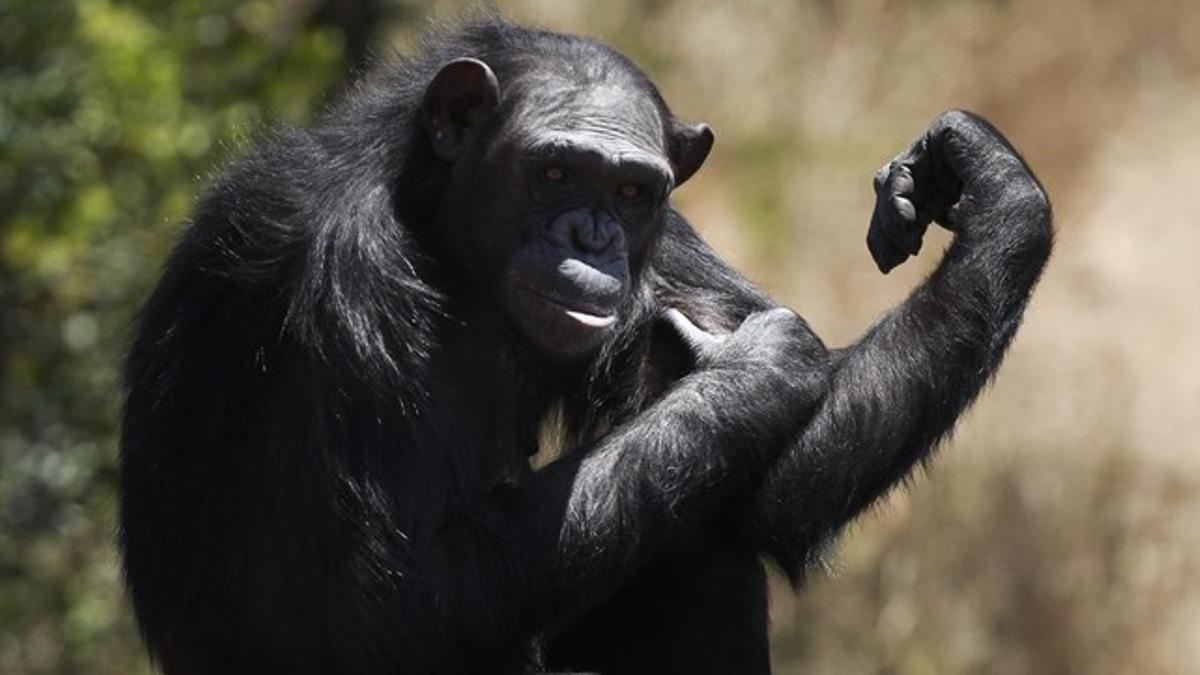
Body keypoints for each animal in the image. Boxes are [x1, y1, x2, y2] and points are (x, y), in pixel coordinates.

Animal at [114, 11, 1051, 672]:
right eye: (555, 170)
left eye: (632, 190)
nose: (590, 235)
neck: (437, 227)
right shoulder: (342, 275)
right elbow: (399, 603)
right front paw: (755, 369)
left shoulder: (665, 242)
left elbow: (786, 485)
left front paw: (991, 179)